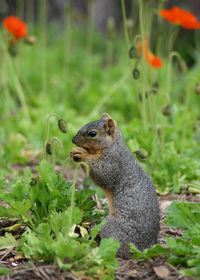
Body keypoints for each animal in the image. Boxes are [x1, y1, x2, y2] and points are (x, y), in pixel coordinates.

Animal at [70, 113, 159, 258]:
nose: (73, 140)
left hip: (113, 227)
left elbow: (102, 173)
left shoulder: (113, 163)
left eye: (92, 133)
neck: (113, 145)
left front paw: (82, 154)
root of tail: (142, 248)